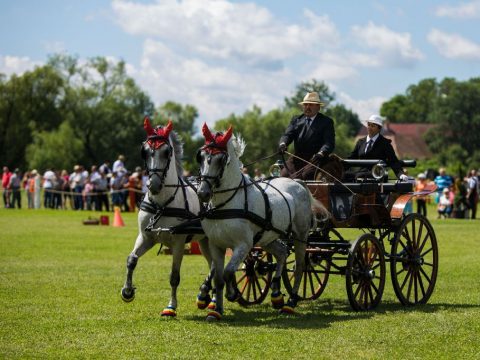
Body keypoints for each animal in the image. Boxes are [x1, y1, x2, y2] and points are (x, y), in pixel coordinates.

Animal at [120, 116, 212, 316]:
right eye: (145, 152)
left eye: (166, 152)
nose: (153, 185)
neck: (162, 204)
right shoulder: (146, 237)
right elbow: (131, 260)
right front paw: (127, 291)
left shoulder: (178, 243)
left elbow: (174, 276)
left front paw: (171, 306)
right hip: (204, 242)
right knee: (215, 266)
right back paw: (208, 296)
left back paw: (206, 296)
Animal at [195, 124, 326, 320]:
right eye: (202, 157)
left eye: (221, 159)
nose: (203, 193)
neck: (227, 204)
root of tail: (297, 182)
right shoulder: (216, 245)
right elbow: (218, 277)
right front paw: (216, 310)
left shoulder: (243, 244)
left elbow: (228, 272)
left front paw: (232, 294)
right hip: (268, 237)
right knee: (282, 253)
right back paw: (276, 294)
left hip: (300, 235)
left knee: (300, 266)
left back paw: (290, 302)